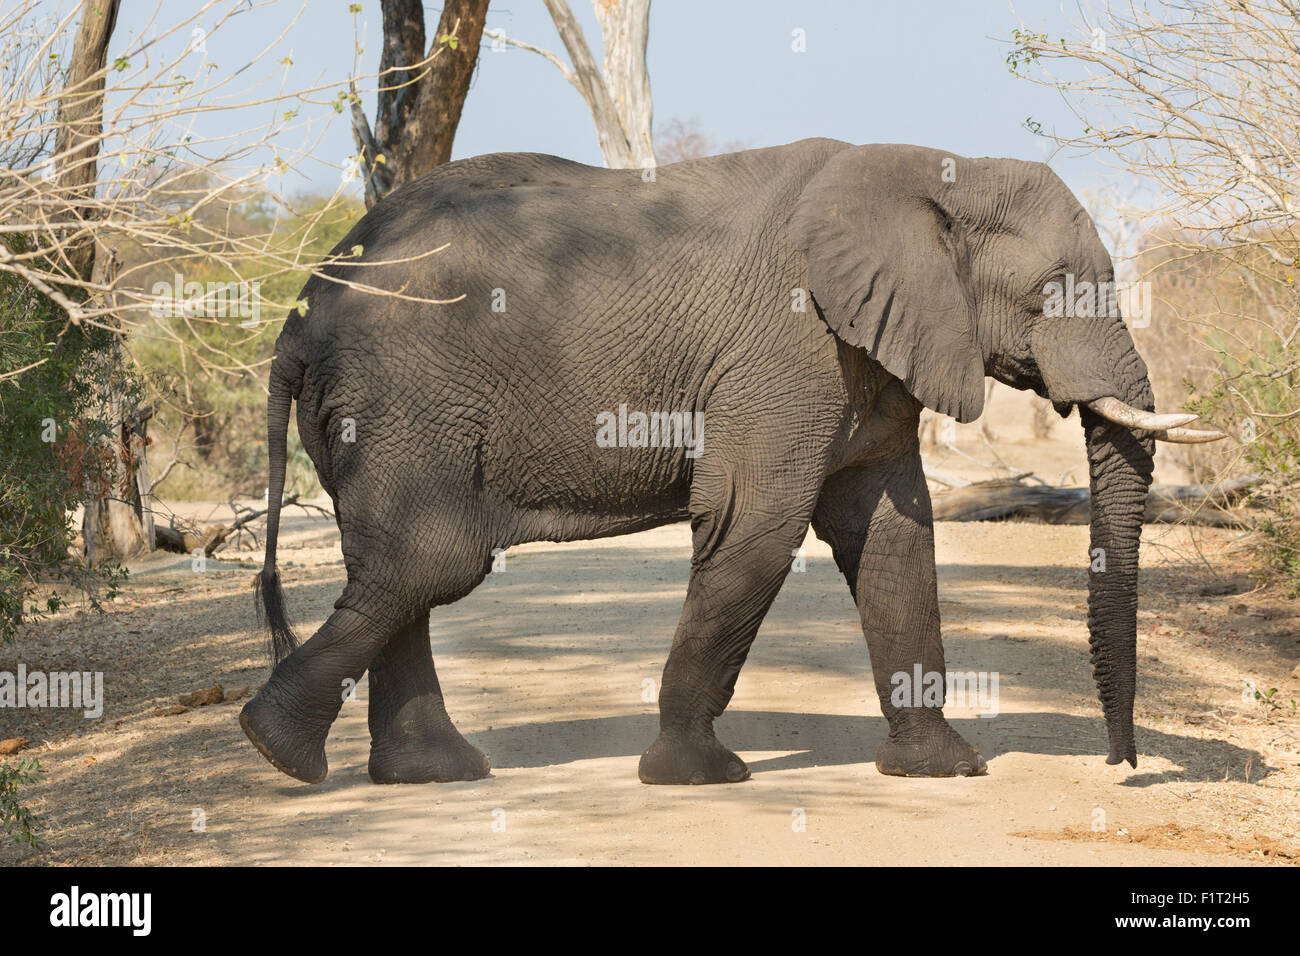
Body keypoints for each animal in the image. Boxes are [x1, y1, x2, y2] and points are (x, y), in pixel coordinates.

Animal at [239, 138, 1222, 790]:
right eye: (1052, 291)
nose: (1122, 766)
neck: (932, 165)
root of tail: (299, 311)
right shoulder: (787, 347)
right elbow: (756, 525)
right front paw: (698, 777)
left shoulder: (864, 356)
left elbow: (892, 535)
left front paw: (942, 772)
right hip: (403, 399)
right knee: (431, 558)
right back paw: (278, 749)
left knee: (399, 566)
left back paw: (429, 773)